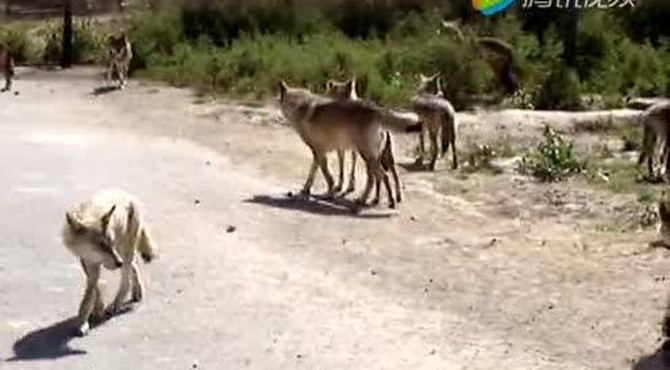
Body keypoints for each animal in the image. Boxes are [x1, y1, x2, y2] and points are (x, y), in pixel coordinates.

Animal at [62, 189, 158, 336]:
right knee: (134, 266)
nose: (118, 263)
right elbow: (94, 290)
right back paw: (137, 292)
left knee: (126, 280)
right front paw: (95, 311)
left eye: (110, 242)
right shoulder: (87, 262)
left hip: (124, 250)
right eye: (101, 245)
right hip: (123, 251)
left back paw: (116, 305)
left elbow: (89, 295)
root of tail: (128, 194)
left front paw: (83, 322)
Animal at [282, 81, 420, 208]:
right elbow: (312, 174)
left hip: (368, 156)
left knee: (380, 177)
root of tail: (375, 109)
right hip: (377, 157)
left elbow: (329, 176)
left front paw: (331, 193)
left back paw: (375, 200)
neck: (300, 106)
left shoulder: (323, 152)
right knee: (384, 176)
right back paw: (381, 199)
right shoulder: (320, 153)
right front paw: (306, 189)